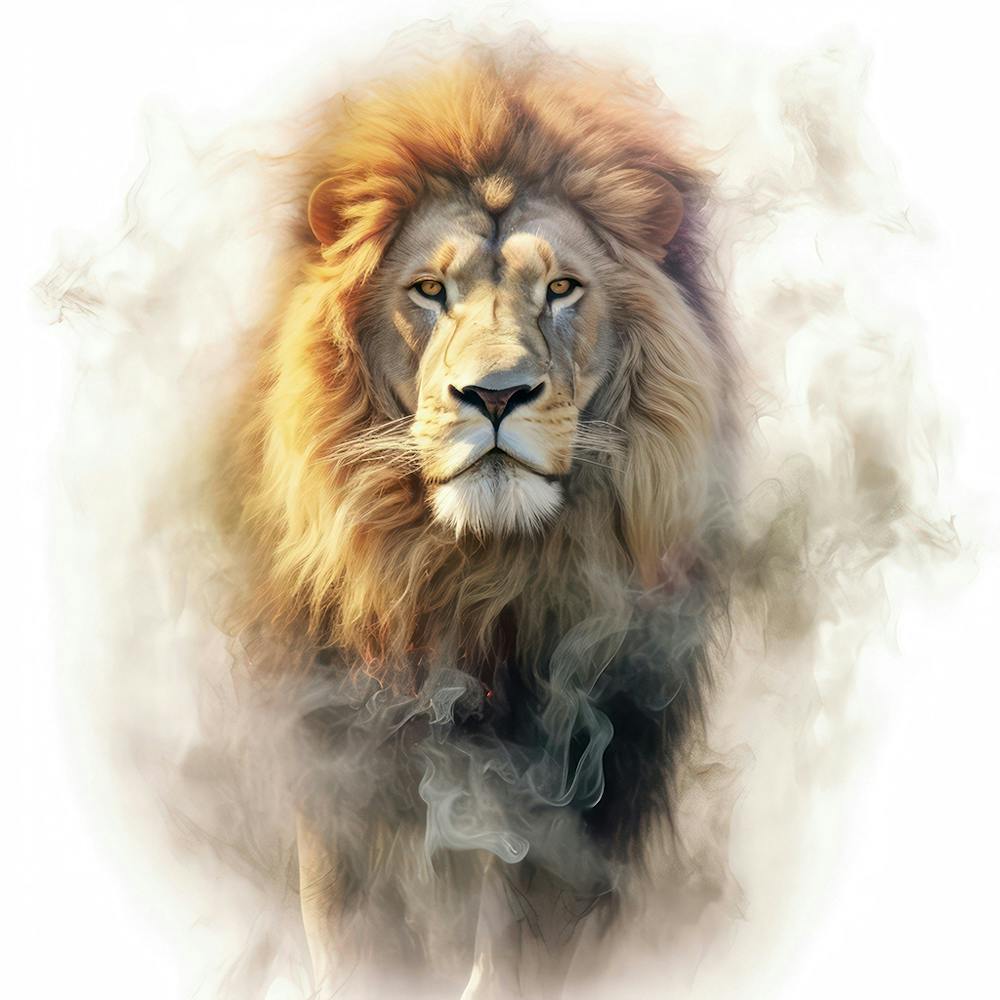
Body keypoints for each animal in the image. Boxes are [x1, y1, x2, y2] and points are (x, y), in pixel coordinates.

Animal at [228, 42, 740, 999]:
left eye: (562, 289)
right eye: (430, 289)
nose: (496, 396)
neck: (475, 582)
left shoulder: (579, 788)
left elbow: (518, 948)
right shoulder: (337, 768)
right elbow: (352, 937)